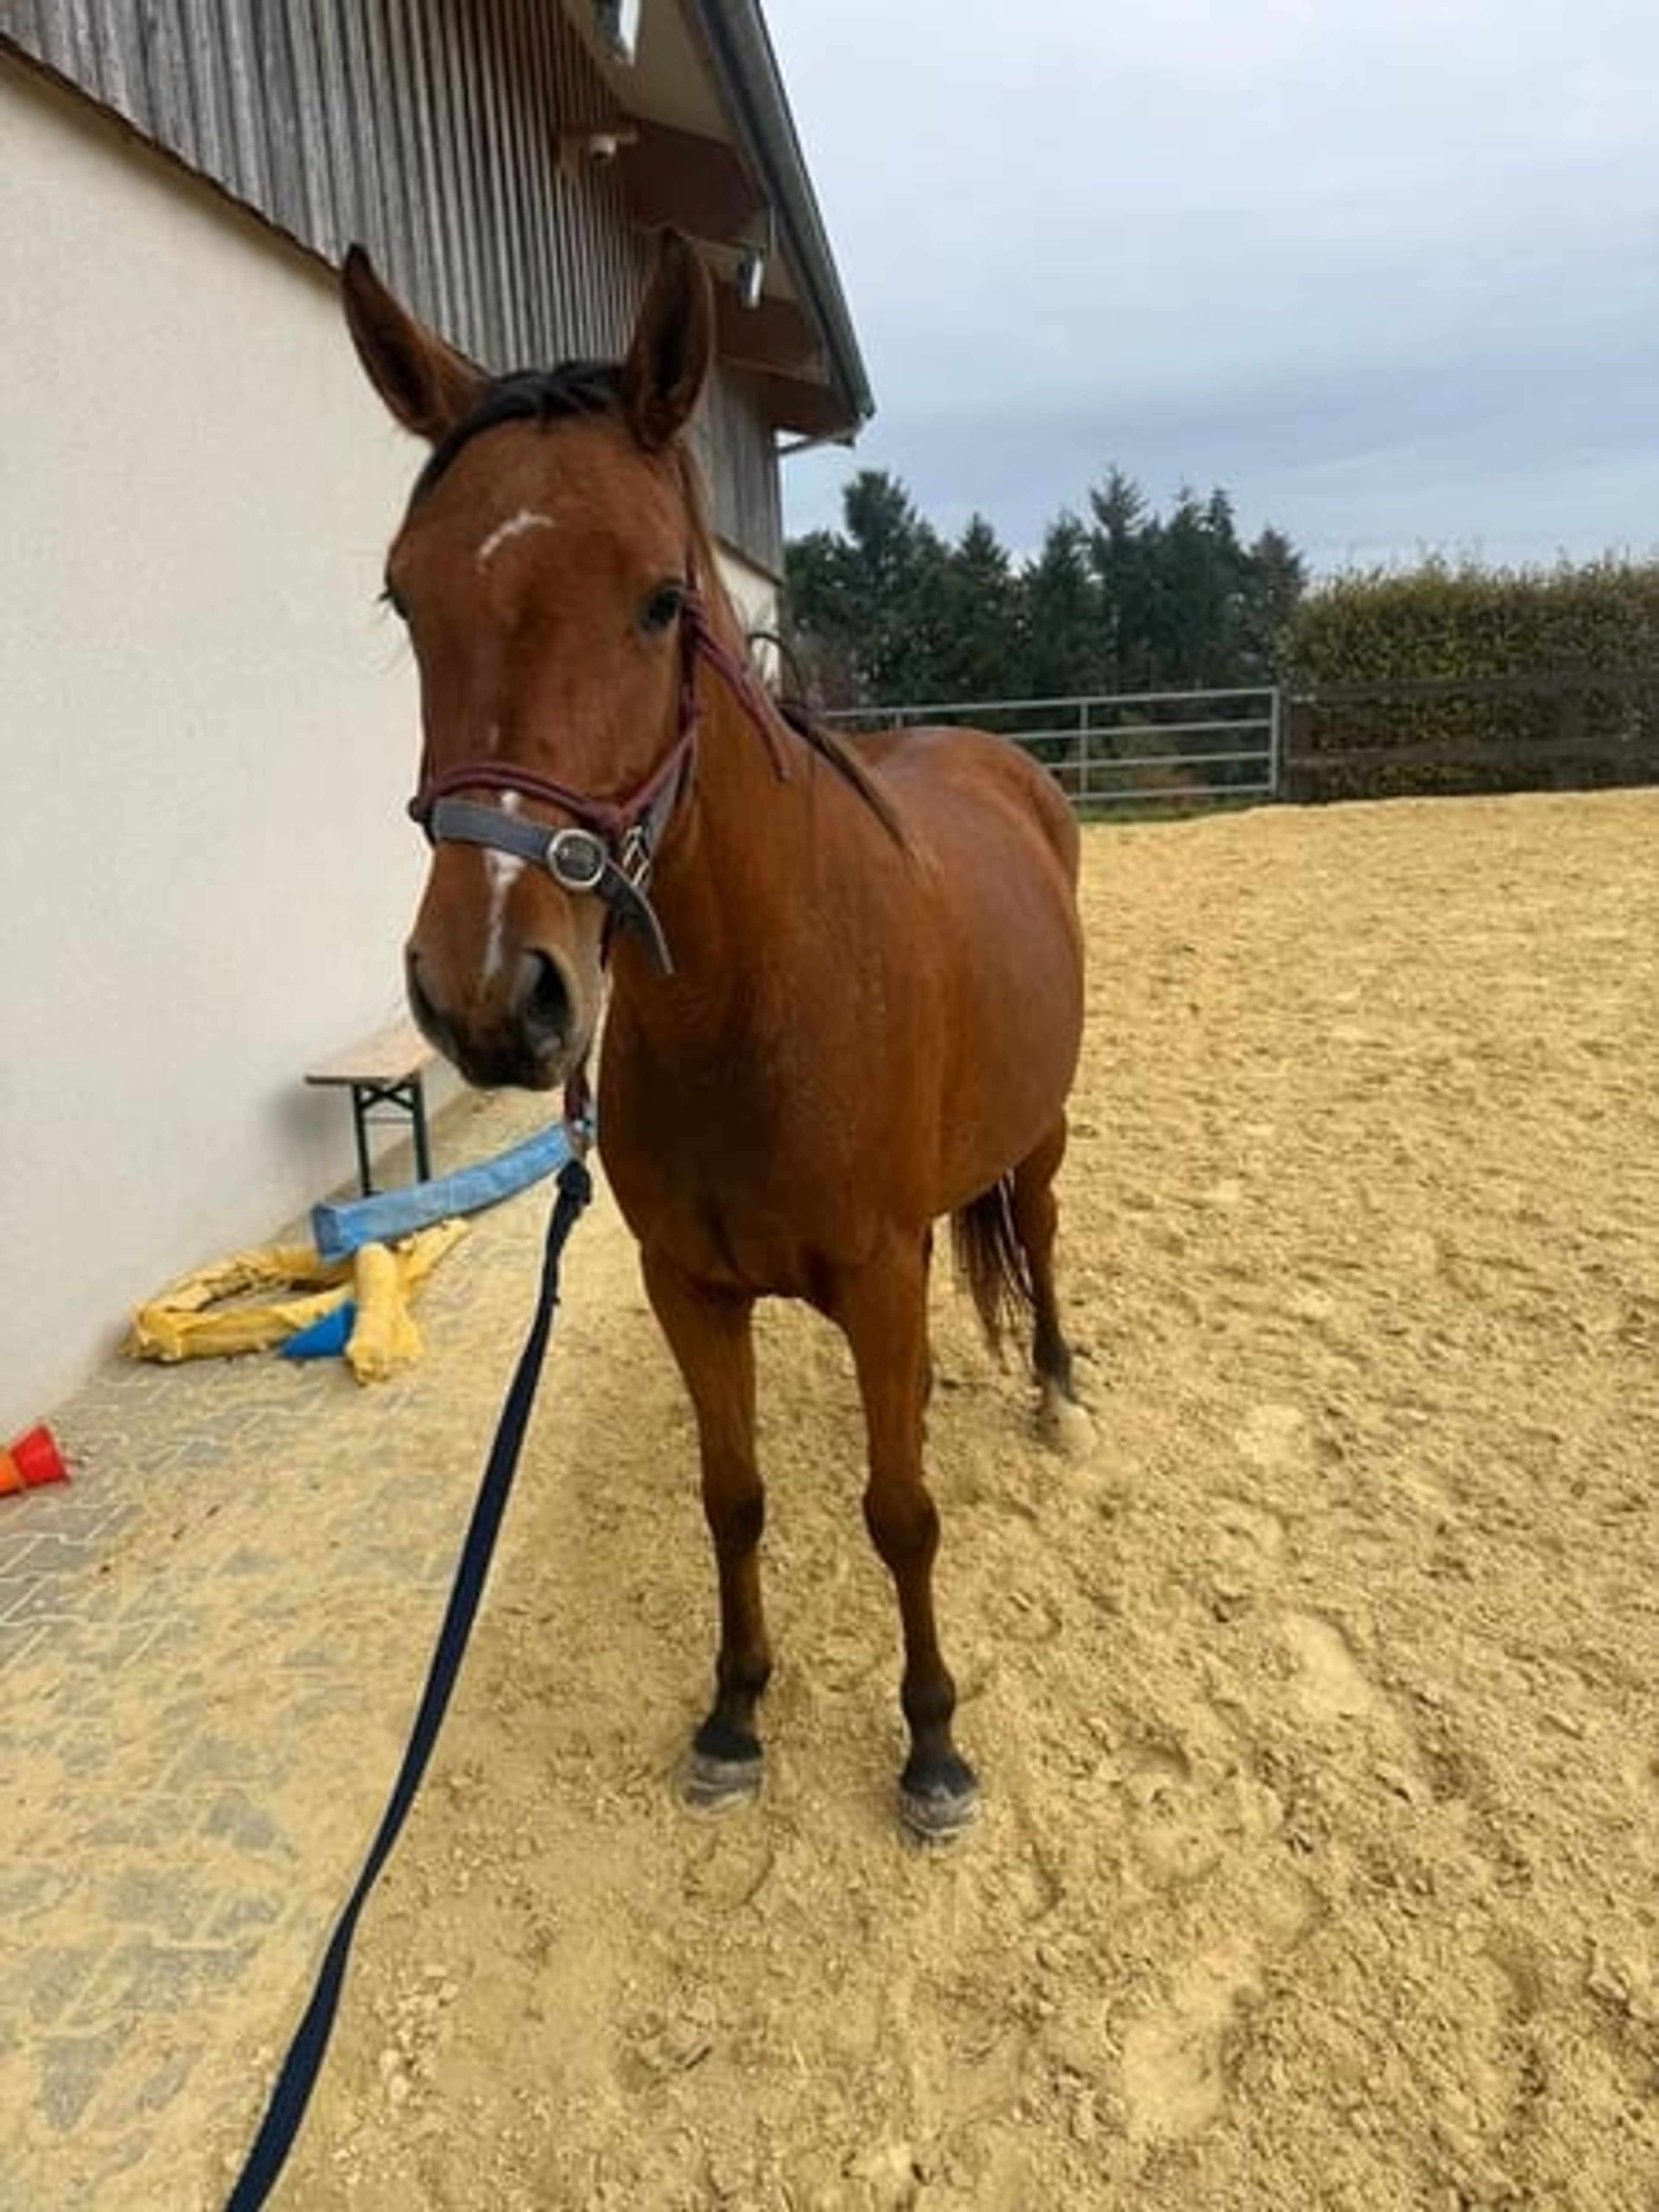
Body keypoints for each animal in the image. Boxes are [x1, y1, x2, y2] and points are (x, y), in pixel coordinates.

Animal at [343, 230, 1086, 1838]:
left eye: (658, 601)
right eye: (403, 600)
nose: (489, 991)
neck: (754, 1007)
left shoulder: (873, 1270)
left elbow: (900, 1510)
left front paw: (931, 1742)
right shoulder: (689, 1286)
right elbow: (732, 1497)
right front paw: (736, 1712)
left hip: (1045, 1136)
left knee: (1045, 1239)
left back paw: (1060, 1387)